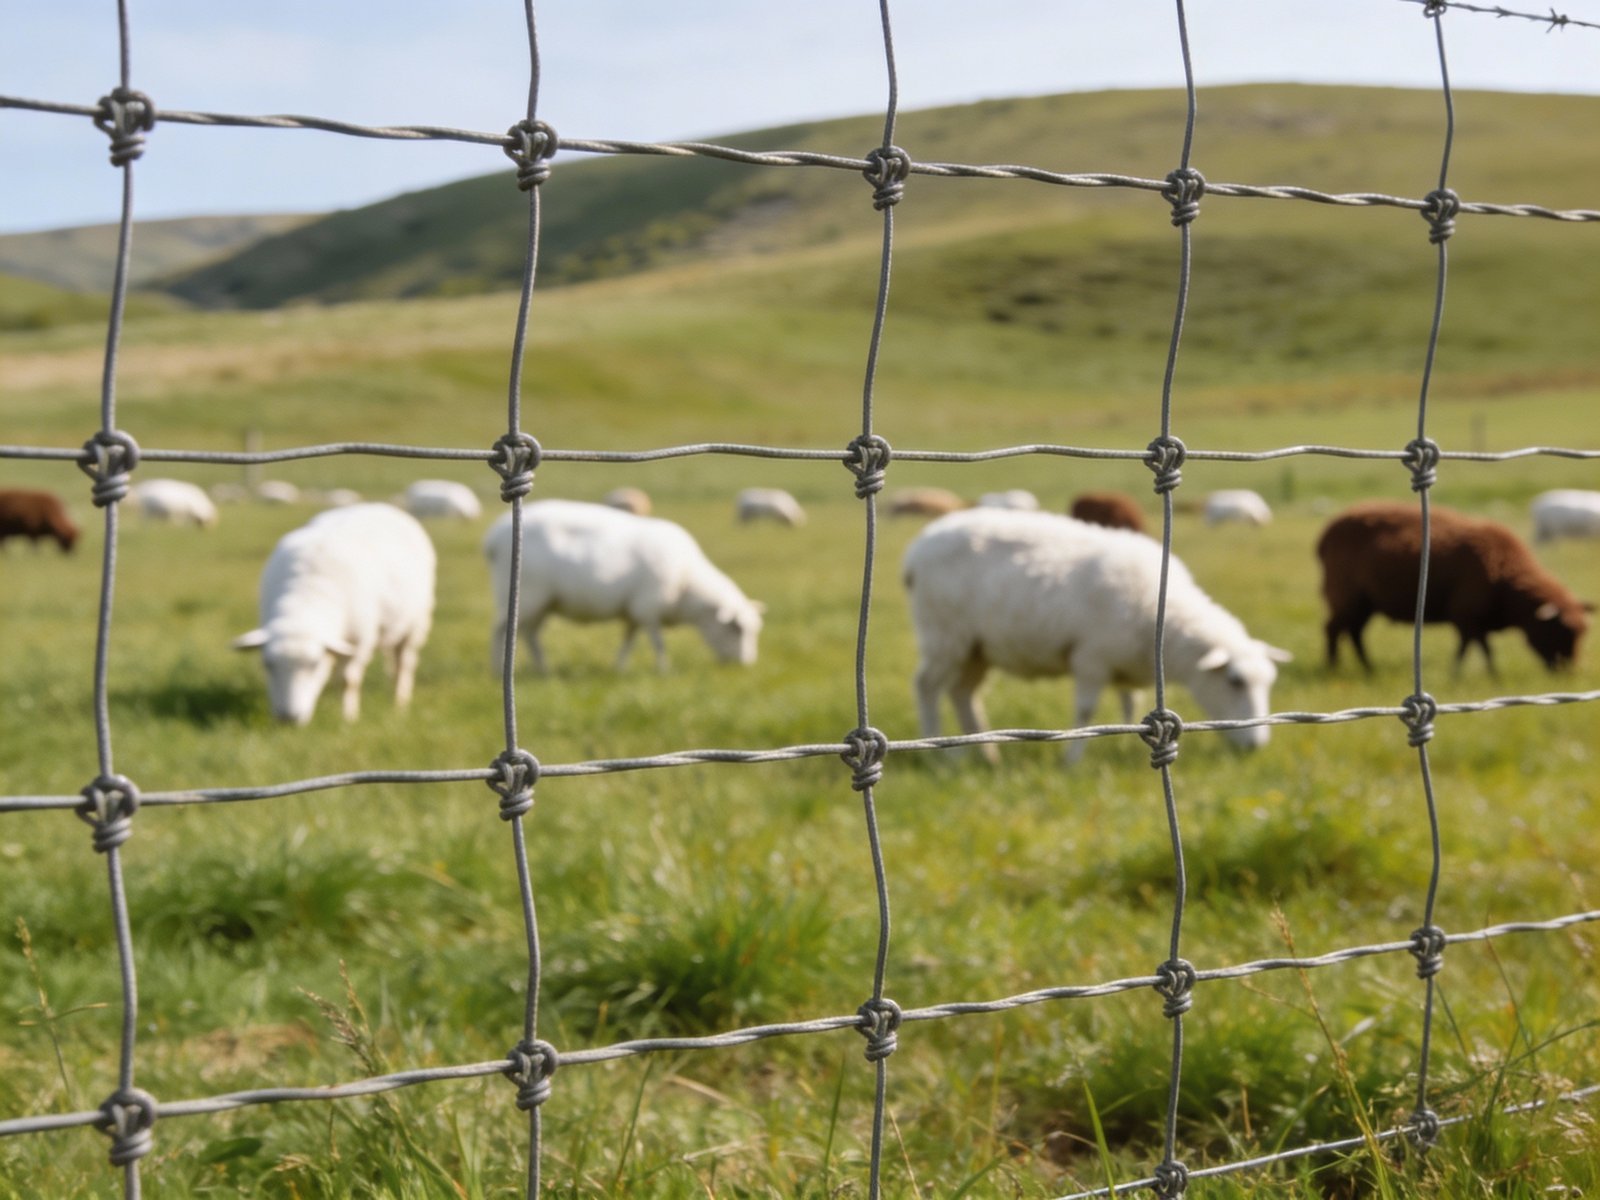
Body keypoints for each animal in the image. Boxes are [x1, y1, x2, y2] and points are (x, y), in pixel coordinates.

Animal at [233, 503, 436, 725]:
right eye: (267, 664)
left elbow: (348, 681)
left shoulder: (359, 642)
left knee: (404, 664)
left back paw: (400, 703)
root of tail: (379, 505)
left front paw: (348, 717)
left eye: (314, 665)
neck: (307, 595)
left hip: (415, 625)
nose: (288, 718)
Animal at [484, 499, 763, 674]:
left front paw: (619, 668)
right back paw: (497, 670)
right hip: (526, 594)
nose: (746, 665)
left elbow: (628, 641)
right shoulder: (648, 607)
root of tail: (494, 537)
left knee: (530, 634)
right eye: (736, 629)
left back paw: (543, 669)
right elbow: (658, 643)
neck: (687, 583)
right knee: (500, 630)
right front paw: (664, 670)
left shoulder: (635, 612)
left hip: (542, 602)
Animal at [903, 508, 1290, 764]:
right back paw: (941, 757)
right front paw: (1071, 761)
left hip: (976, 647)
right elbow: (1086, 712)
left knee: (962, 693)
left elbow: (1130, 704)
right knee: (927, 687)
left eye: (1270, 682)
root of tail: (918, 549)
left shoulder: (1125, 662)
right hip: (944, 635)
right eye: (1235, 681)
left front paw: (1129, 742)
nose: (1257, 746)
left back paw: (987, 754)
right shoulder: (1092, 658)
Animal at [1317, 500, 1591, 675]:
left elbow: (1470, 647)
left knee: (1354, 633)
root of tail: (1326, 534)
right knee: (1334, 630)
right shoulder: (1467, 614)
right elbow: (1481, 649)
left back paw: (1368, 668)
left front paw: (1467, 673)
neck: (1505, 578)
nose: (1568, 673)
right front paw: (1486, 675)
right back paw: (1333, 667)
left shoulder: (1472, 620)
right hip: (1347, 596)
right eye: (1561, 631)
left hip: (1364, 603)